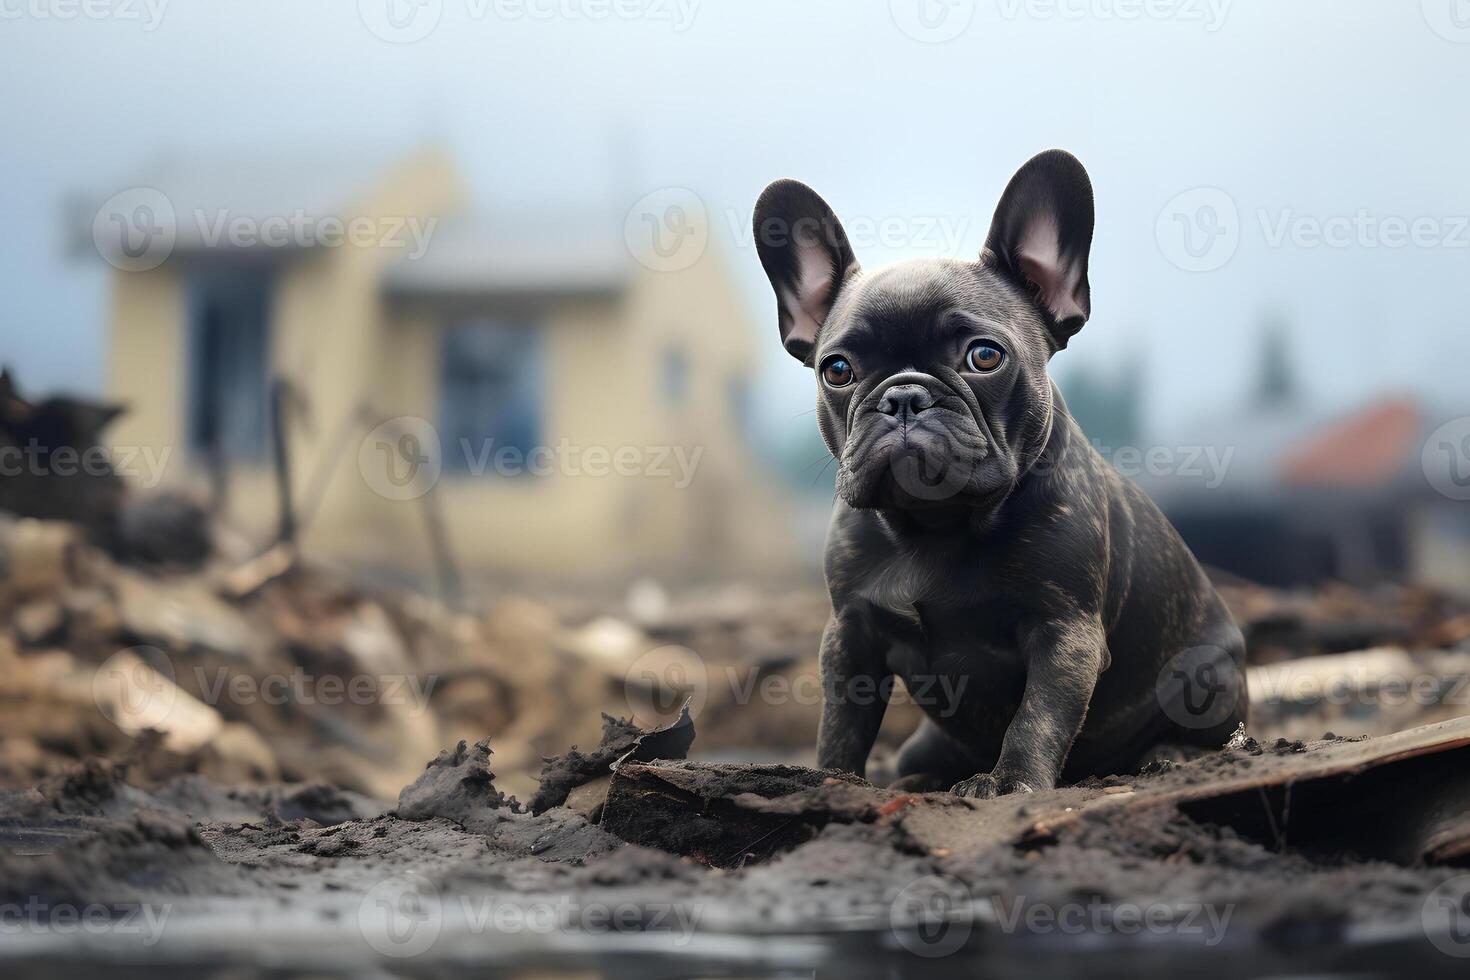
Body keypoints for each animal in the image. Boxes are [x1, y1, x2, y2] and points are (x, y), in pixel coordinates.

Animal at [752, 151, 1246, 799]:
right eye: (837, 369)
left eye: (984, 356)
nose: (904, 396)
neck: (936, 525)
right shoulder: (850, 635)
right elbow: (842, 719)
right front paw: (833, 779)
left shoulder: (1065, 634)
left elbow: (1038, 714)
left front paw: (1011, 784)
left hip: (1204, 674)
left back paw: (1173, 756)